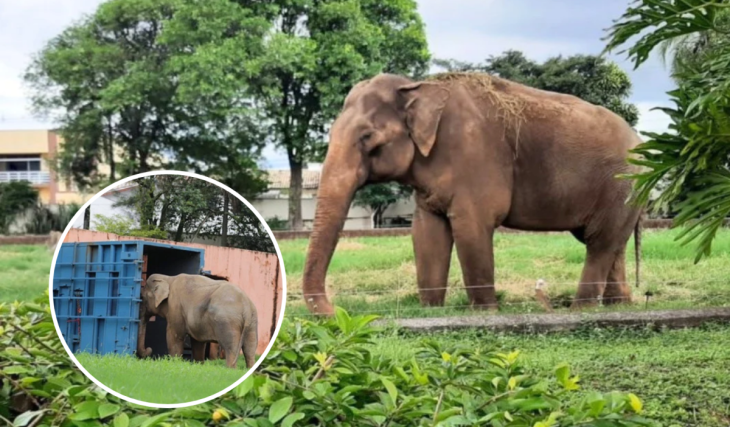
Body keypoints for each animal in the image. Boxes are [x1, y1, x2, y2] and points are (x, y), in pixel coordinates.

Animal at [301, 72, 644, 316]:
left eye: (367, 137)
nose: (338, 311)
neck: (419, 86)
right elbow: (426, 233)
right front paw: (431, 311)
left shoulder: (474, 157)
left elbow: (471, 228)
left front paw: (486, 312)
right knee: (610, 243)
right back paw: (619, 305)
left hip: (621, 184)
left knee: (599, 243)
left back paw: (580, 309)